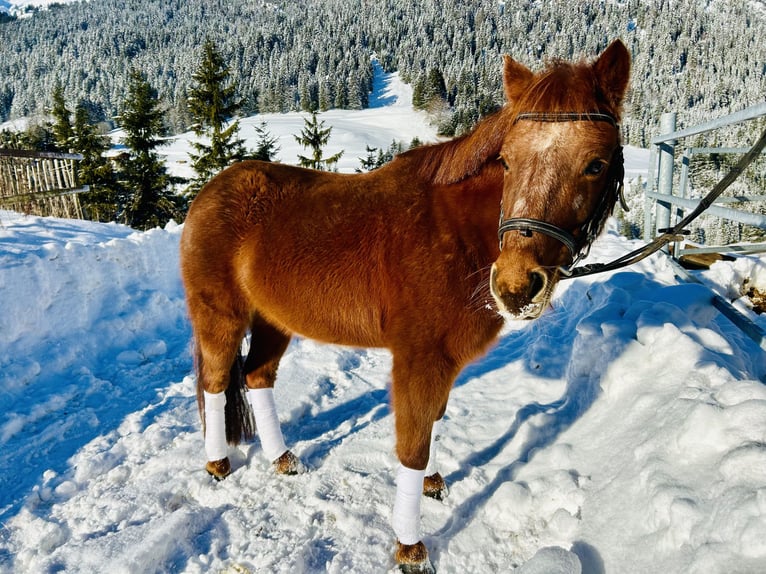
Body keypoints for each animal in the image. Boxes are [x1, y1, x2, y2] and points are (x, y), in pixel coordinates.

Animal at [183, 39, 632, 572]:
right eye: (506, 160)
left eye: (595, 164)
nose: (516, 285)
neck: (455, 234)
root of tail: (211, 191)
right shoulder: (419, 359)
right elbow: (412, 446)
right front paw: (410, 546)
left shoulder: (443, 361)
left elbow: (433, 421)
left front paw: (434, 484)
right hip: (221, 316)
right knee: (215, 383)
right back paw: (217, 464)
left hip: (275, 321)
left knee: (257, 377)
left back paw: (283, 459)